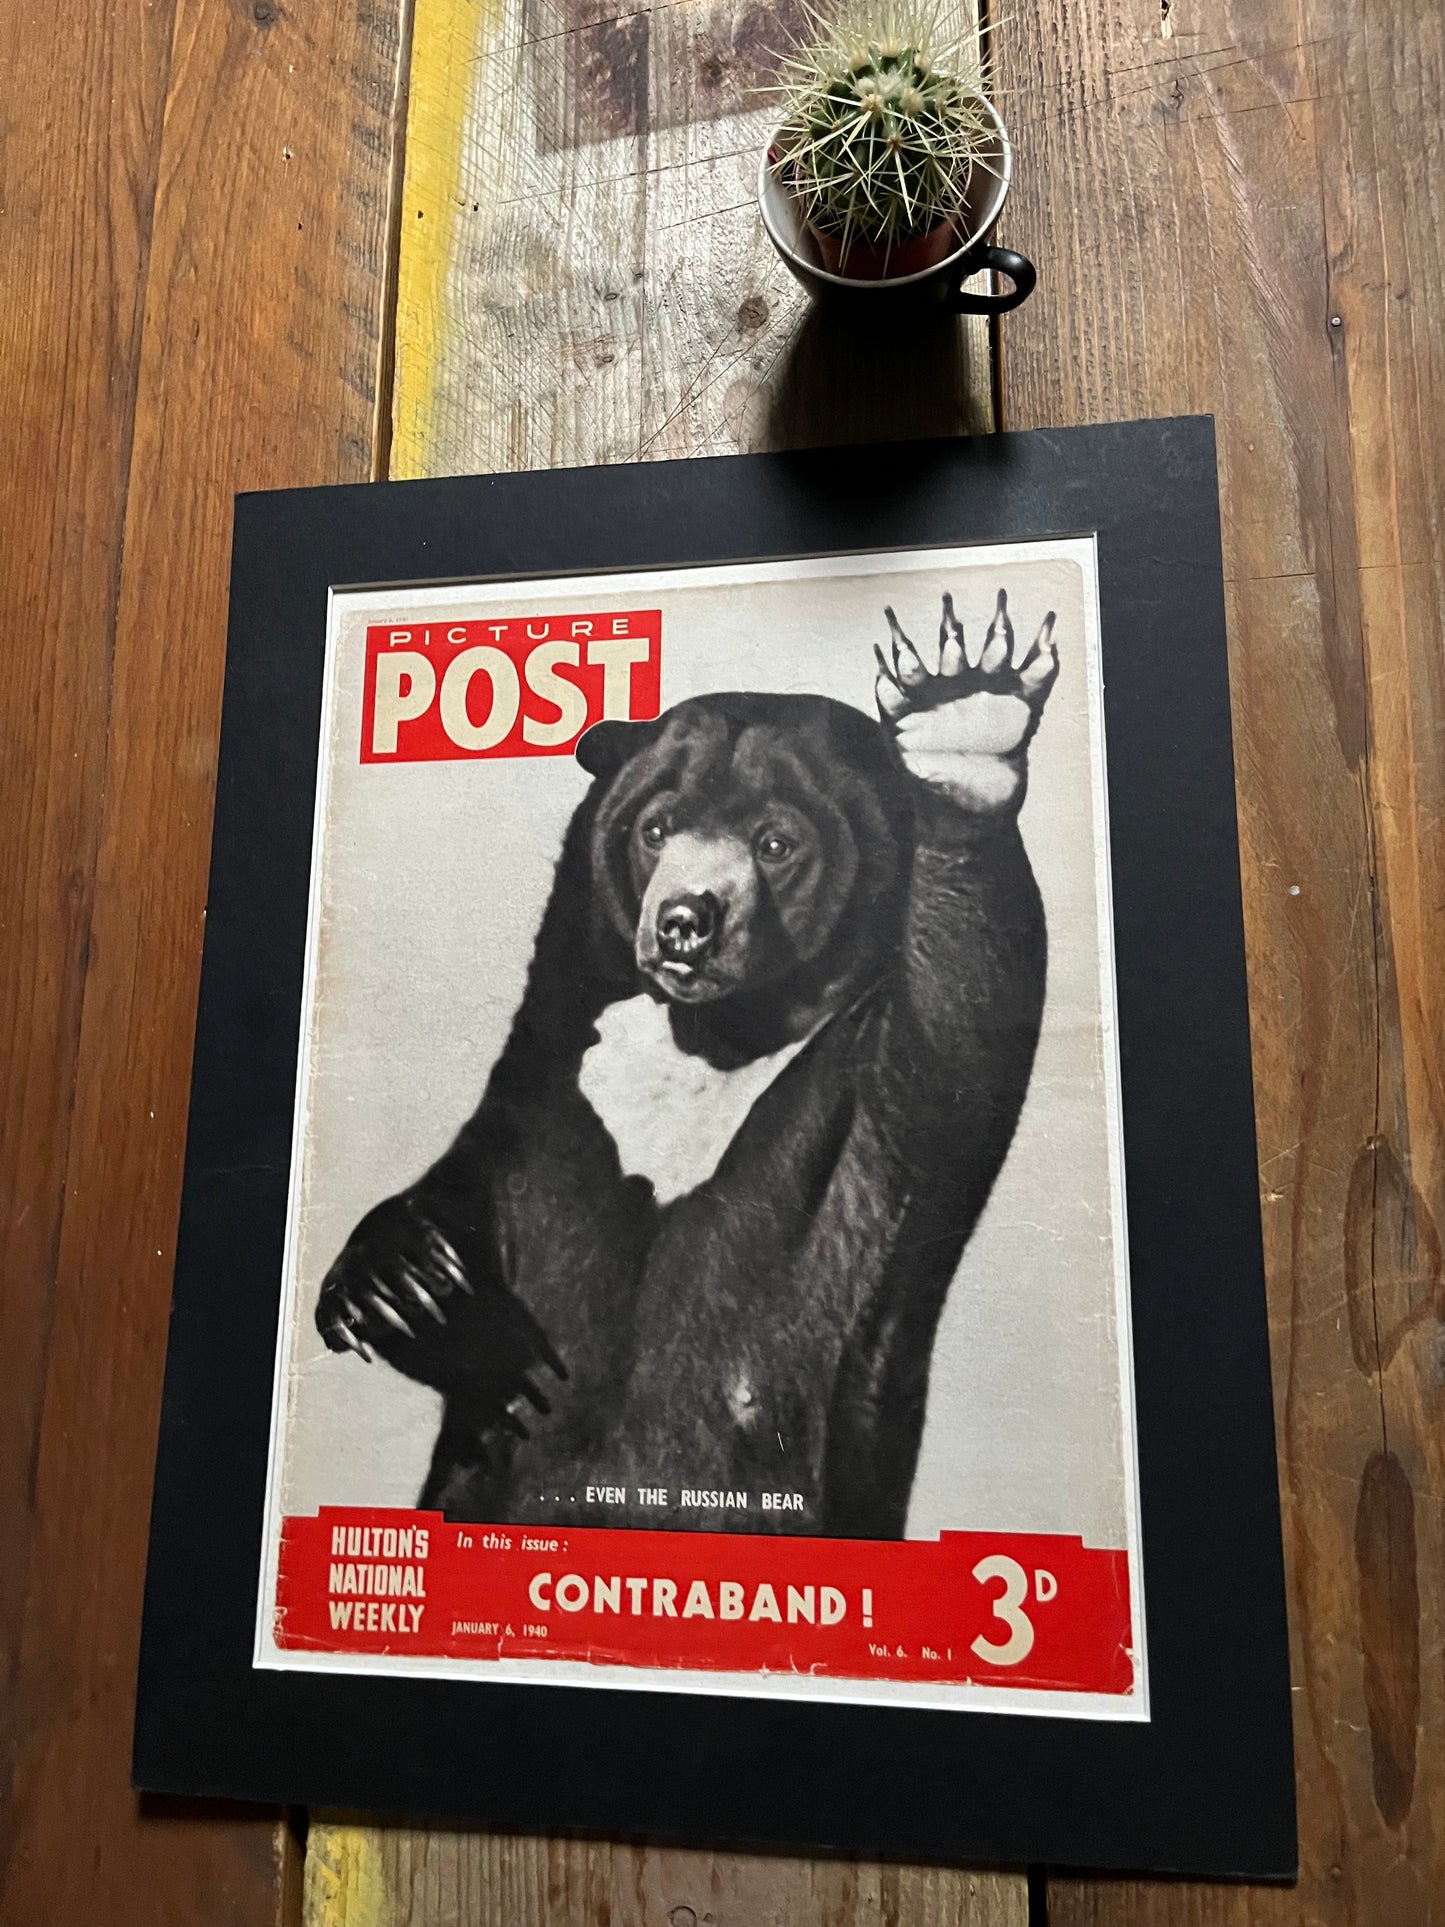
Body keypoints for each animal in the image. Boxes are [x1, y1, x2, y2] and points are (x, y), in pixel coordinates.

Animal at [316, 587, 1059, 1539]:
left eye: (776, 843)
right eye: (654, 827)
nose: (682, 921)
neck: (707, 1035)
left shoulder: (877, 1104)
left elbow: (965, 997)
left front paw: (961, 716)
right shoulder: (553, 1066)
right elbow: (473, 1169)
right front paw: (403, 1287)